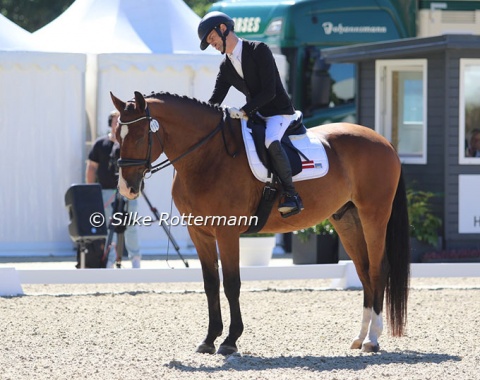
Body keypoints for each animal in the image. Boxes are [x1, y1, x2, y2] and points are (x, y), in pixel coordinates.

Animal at [110, 90, 410, 354]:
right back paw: (359, 338)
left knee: (377, 270)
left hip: (373, 215)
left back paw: (373, 339)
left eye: (140, 136)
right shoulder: (199, 233)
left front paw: (230, 341)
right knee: (363, 272)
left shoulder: (226, 232)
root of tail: (384, 142)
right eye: (116, 136)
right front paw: (209, 340)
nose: (126, 189)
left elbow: (232, 284)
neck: (207, 156)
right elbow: (210, 284)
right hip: (347, 220)